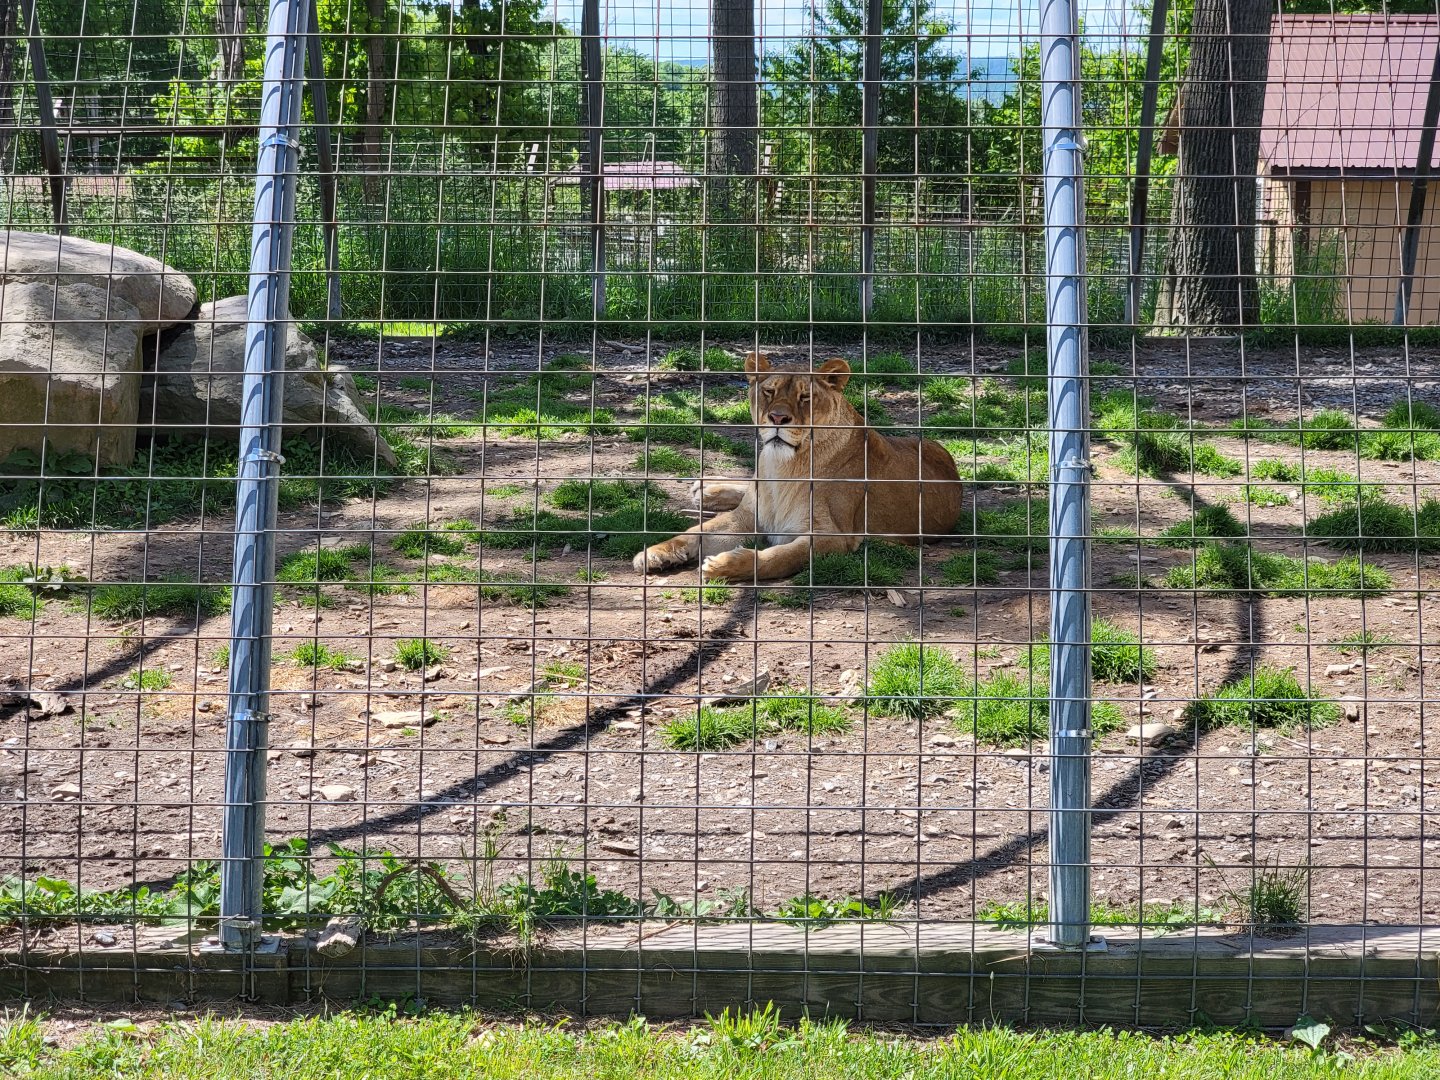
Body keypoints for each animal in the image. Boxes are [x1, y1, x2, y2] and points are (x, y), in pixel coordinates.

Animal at [632, 352, 965, 582]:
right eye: (769, 391)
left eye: (805, 397)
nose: (778, 418)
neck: (783, 468)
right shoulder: (747, 516)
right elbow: (695, 531)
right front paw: (655, 552)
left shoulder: (834, 536)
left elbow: (779, 557)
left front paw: (725, 565)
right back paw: (707, 489)